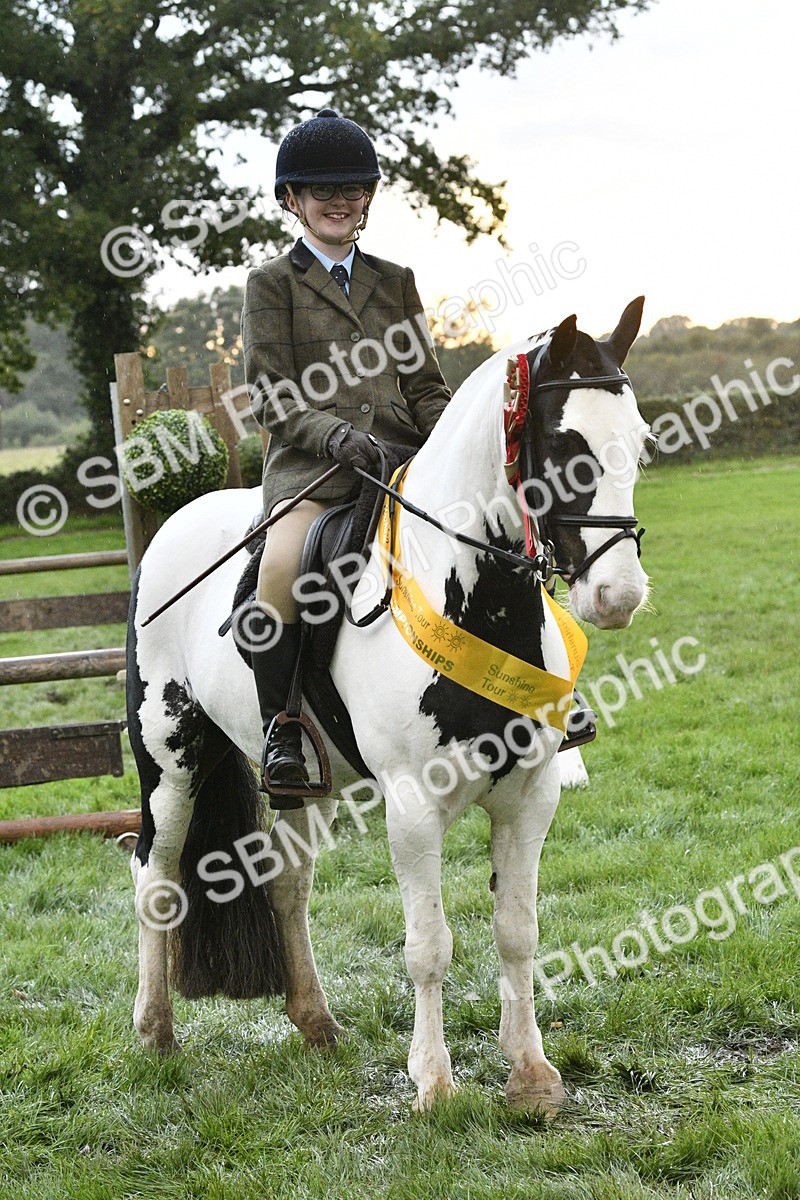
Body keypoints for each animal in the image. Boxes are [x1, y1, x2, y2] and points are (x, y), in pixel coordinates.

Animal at [127, 297, 650, 1115]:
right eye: (568, 446)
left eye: (643, 445)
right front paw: (433, 1083)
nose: (618, 596)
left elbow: (517, 931)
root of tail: (176, 522)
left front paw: (531, 1076)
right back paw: (154, 1032)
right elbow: (429, 945)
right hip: (169, 758)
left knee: (287, 884)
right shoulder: (412, 805)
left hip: (300, 780)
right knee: (156, 876)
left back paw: (316, 1024)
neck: (476, 598)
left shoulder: (530, 797)